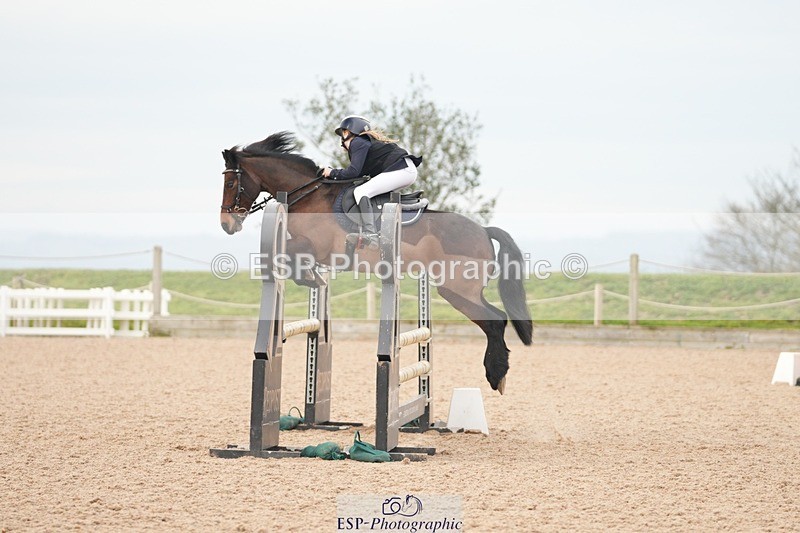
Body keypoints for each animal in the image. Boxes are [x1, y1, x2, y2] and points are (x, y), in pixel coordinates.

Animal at [219, 131, 532, 393]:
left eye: (231, 183)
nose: (226, 225)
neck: (309, 196)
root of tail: (484, 230)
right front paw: (312, 278)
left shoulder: (317, 247)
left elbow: (293, 255)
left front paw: (310, 278)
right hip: (463, 290)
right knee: (495, 318)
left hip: (457, 290)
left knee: (495, 321)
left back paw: (496, 375)